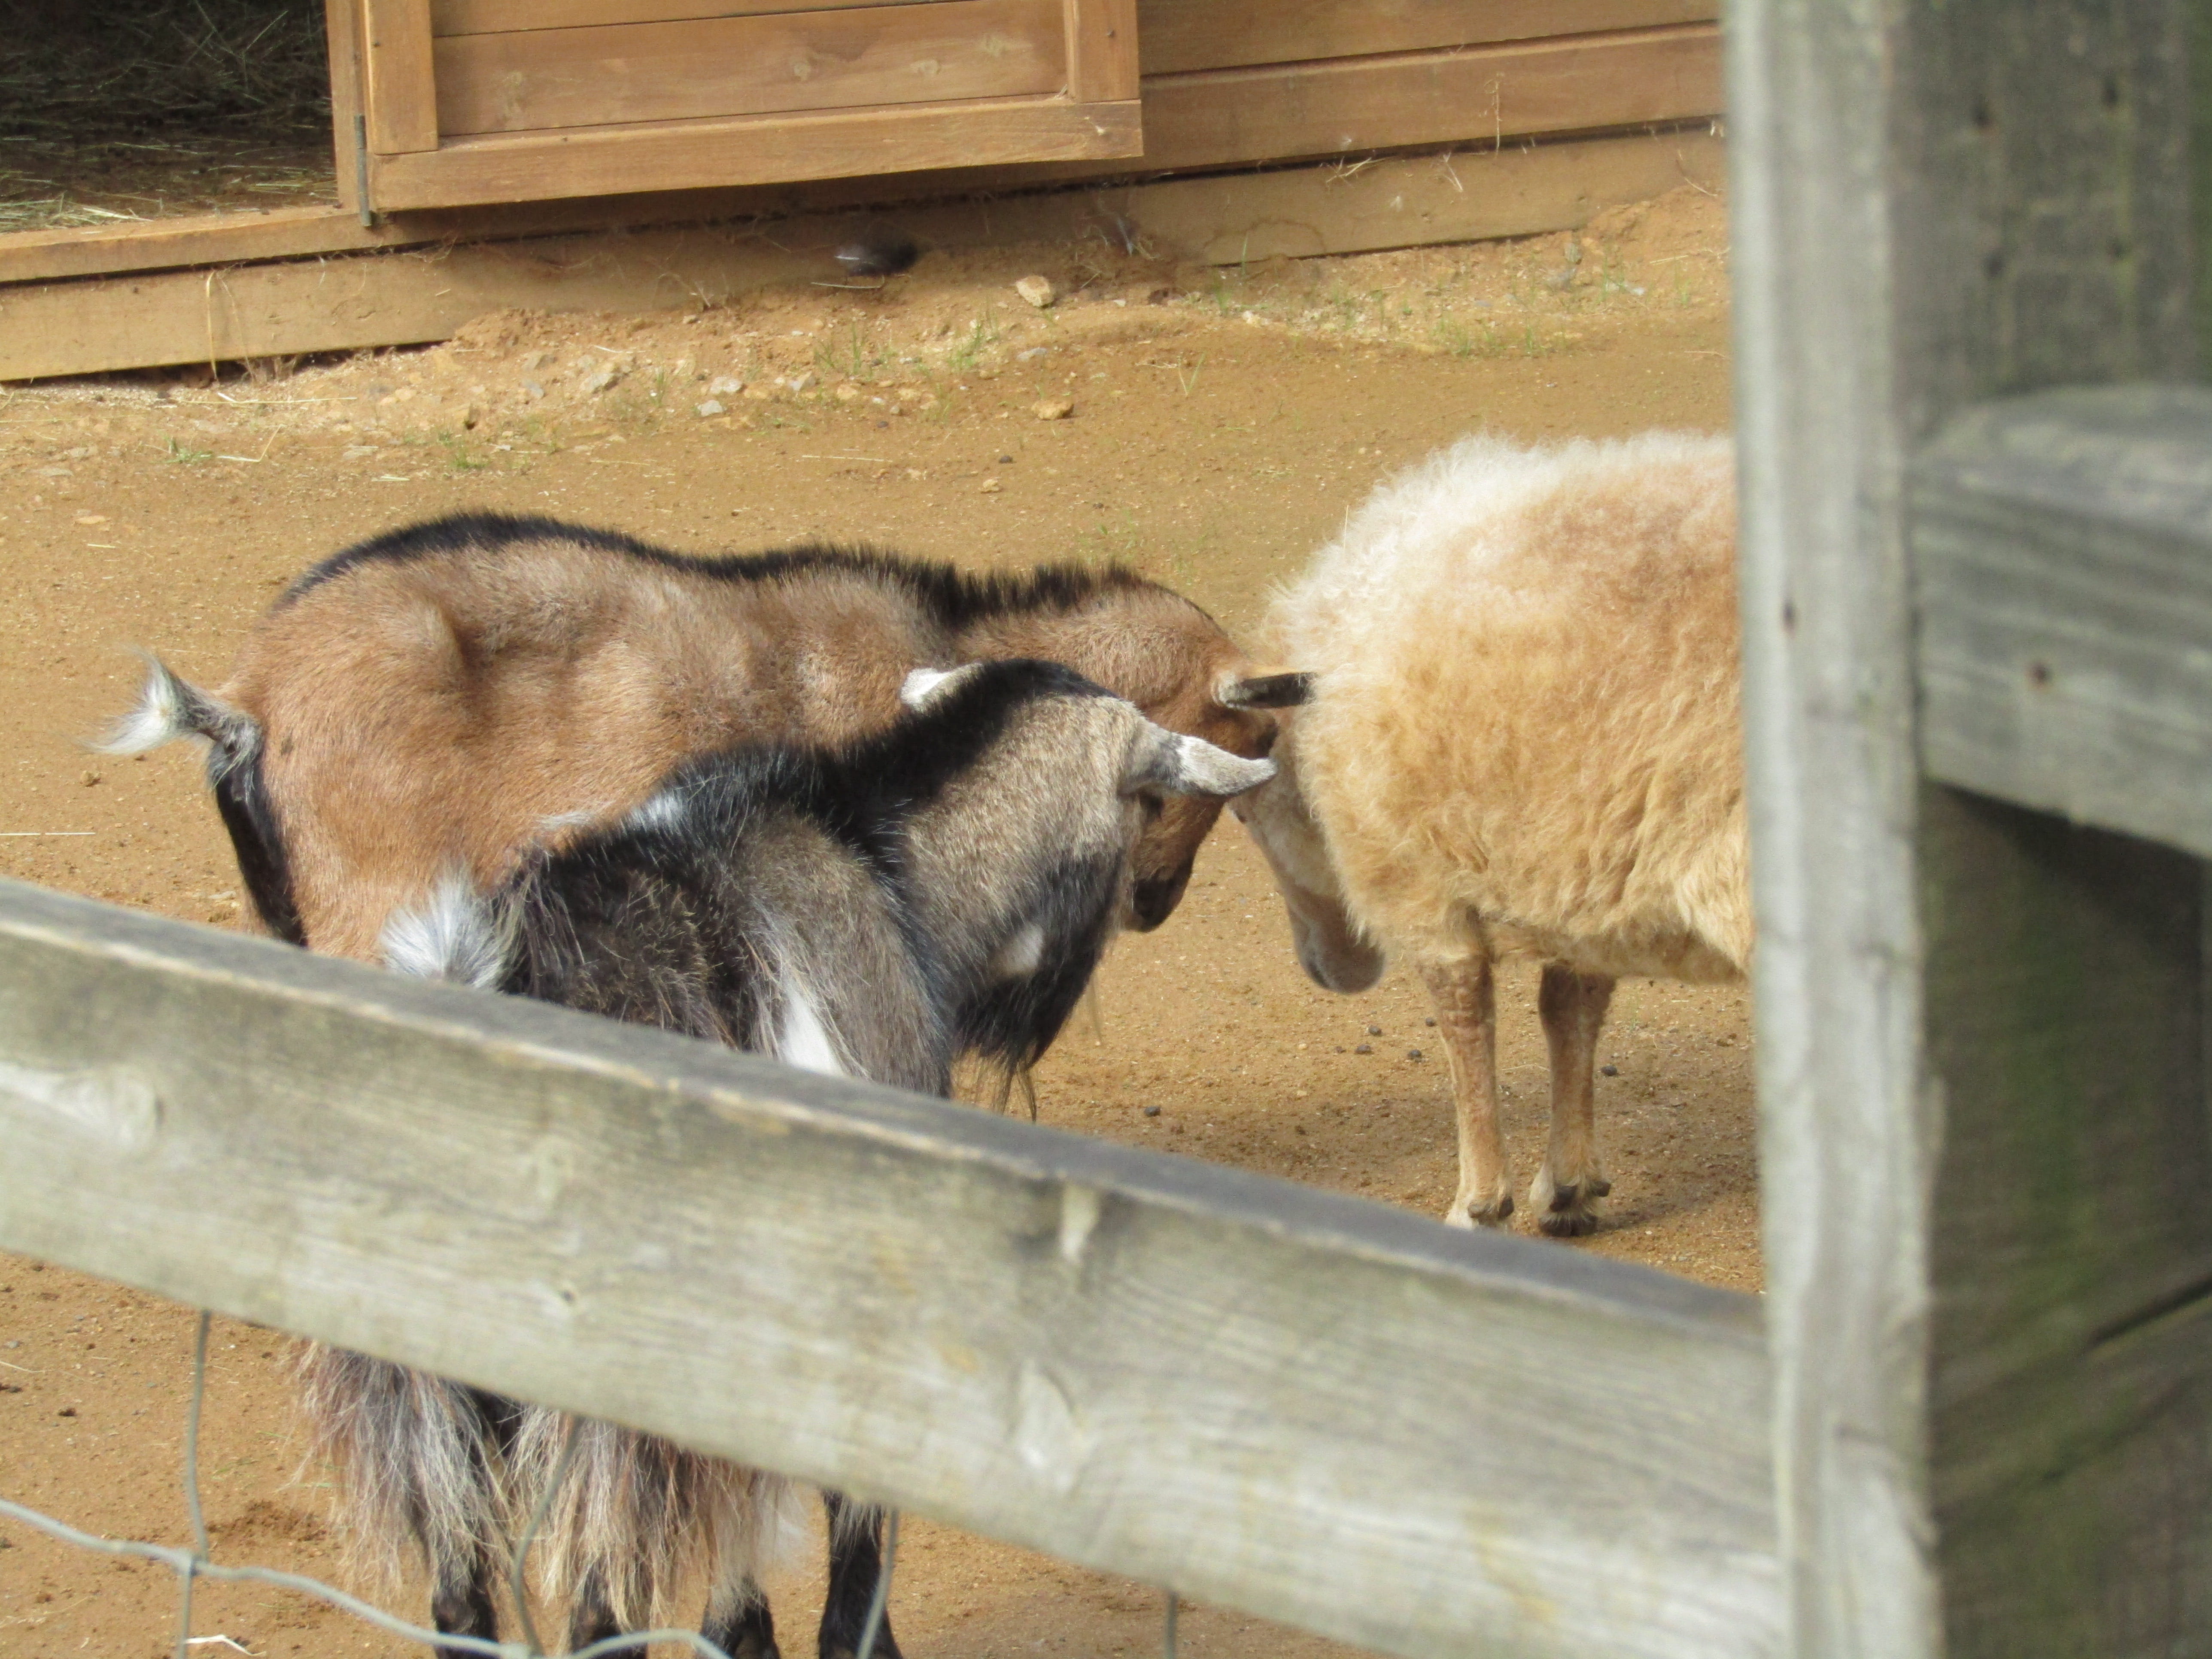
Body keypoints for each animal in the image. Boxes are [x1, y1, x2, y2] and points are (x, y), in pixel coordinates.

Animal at [305, 657, 1275, 1659]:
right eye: (1142, 809)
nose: (1150, 905)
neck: (887, 870)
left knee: (462, 1602)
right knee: (603, 1610)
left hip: (427, 1390)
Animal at [1233, 431, 1749, 1237]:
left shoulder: (1410, 874)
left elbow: (1463, 1015)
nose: (1330, 973)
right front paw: (1569, 1182)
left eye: (1245, 809)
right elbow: (1570, 1010)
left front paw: (1478, 1200)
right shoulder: (1587, 859)